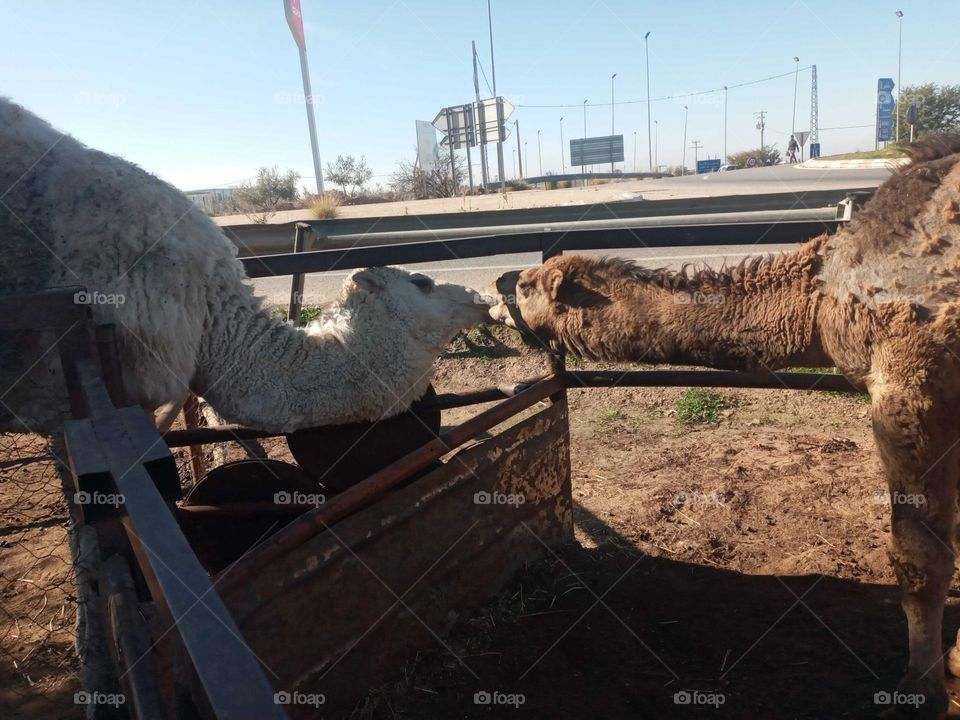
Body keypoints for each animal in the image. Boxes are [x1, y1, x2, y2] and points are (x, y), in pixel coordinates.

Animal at [487, 136, 960, 717]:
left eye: (528, 285)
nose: (494, 286)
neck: (819, 297)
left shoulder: (911, 380)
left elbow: (920, 555)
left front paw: (922, 691)